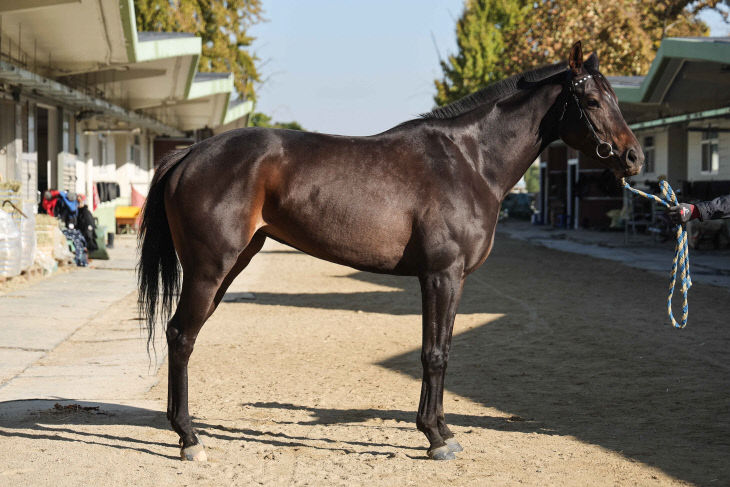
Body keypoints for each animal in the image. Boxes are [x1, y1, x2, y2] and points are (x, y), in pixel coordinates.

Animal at [138, 42, 644, 462]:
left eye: (616, 99)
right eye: (592, 101)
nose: (634, 157)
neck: (469, 160)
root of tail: (191, 152)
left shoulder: (452, 280)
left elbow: (442, 349)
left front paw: (443, 430)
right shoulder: (441, 275)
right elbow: (433, 354)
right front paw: (435, 439)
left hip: (230, 267)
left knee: (182, 335)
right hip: (209, 269)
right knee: (181, 336)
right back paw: (189, 440)